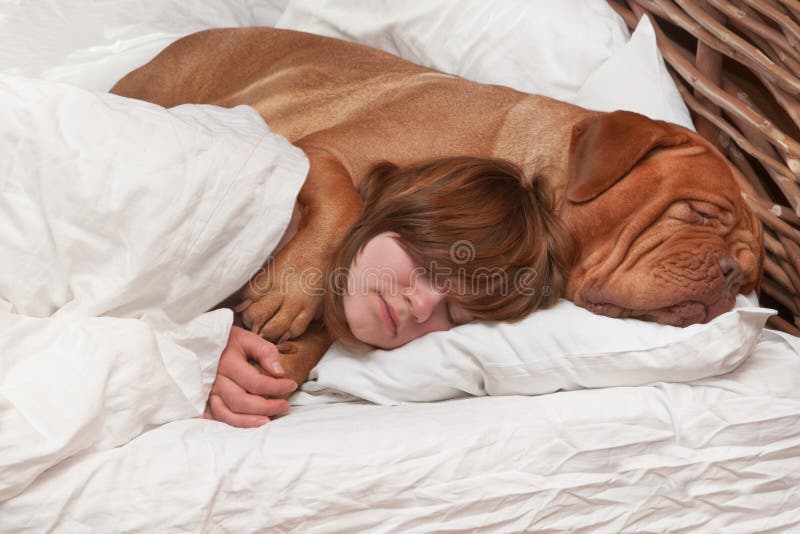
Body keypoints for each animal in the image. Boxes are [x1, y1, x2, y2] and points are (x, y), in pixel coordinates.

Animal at [111, 26, 764, 386]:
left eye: (752, 279)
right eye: (698, 213)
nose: (729, 274)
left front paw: (284, 357)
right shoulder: (315, 151)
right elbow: (343, 198)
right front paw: (291, 293)